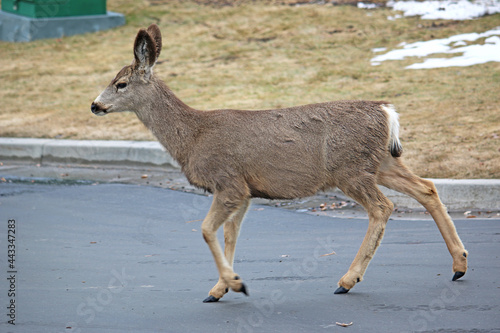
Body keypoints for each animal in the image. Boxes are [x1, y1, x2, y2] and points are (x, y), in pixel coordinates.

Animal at [91, 24, 468, 302]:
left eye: (120, 83)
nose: (95, 105)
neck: (192, 137)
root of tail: (386, 110)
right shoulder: (245, 191)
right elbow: (230, 234)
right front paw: (221, 287)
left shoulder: (228, 182)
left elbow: (206, 230)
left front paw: (234, 284)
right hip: (381, 162)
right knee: (427, 188)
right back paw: (459, 265)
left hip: (350, 168)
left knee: (383, 207)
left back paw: (347, 280)